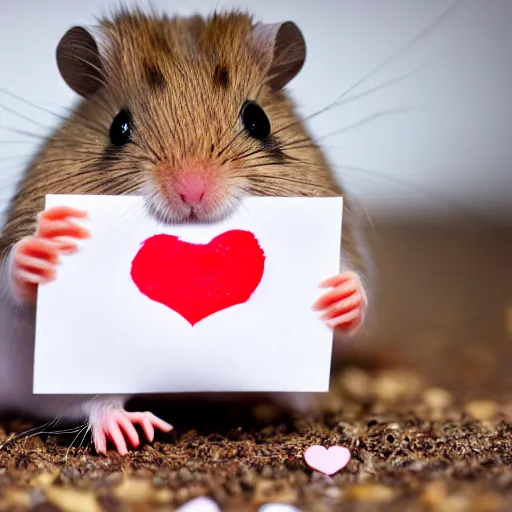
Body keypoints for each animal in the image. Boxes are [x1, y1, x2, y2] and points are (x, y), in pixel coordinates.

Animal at [0, 7, 372, 456]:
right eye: (119, 127)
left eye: (258, 120)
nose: (192, 191)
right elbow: (15, 289)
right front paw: (46, 243)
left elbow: (353, 302)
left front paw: (341, 295)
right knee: (92, 403)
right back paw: (130, 430)